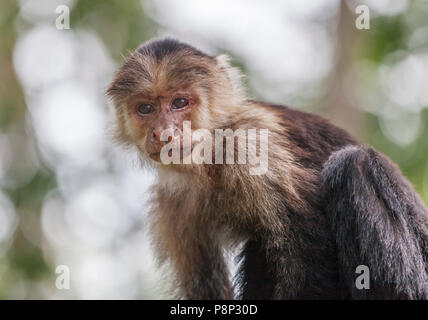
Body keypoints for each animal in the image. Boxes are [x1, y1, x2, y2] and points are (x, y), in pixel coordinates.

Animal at [107, 38, 428, 300]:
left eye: (180, 103)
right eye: (146, 109)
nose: (164, 133)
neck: (210, 160)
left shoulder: (253, 146)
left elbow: (310, 258)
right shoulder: (172, 205)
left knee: (354, 166)